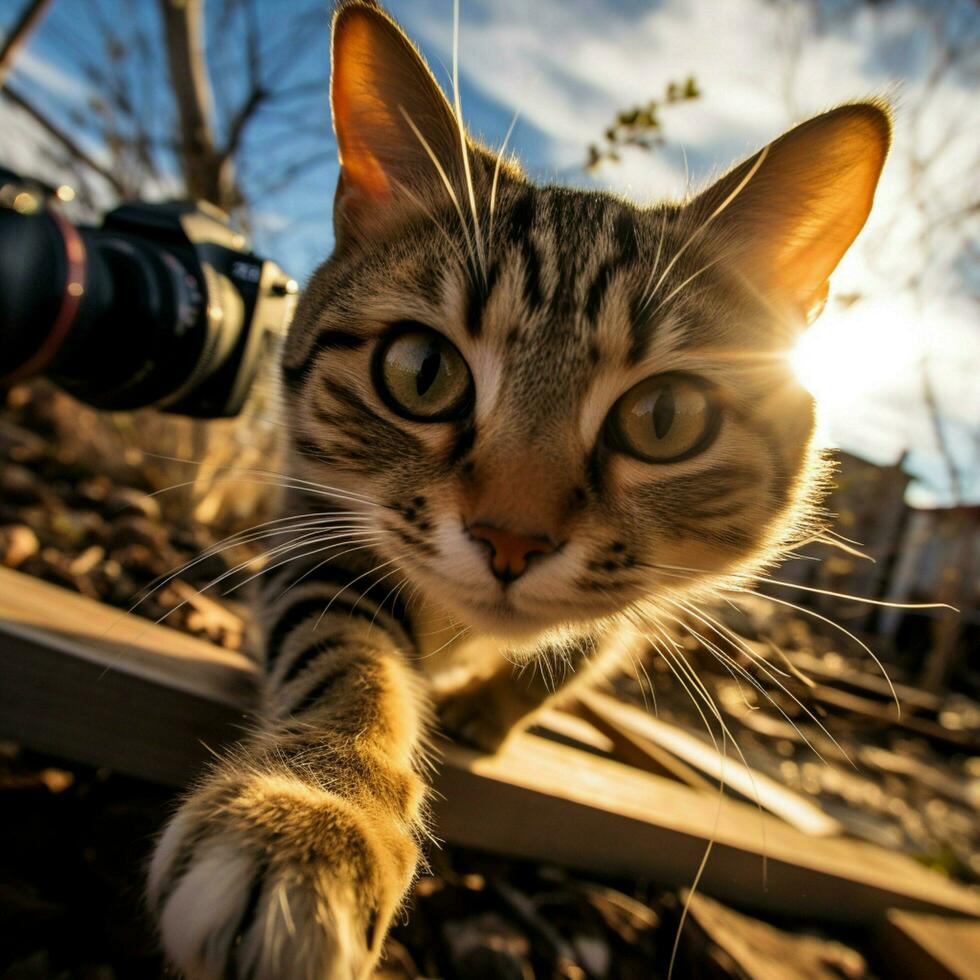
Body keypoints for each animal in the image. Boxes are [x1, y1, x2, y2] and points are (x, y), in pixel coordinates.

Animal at [145, 3, 888, 976]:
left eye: (665, 419)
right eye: (421, 372)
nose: (511, 538)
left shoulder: (649, 598)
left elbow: (585, 646)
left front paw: (488, 711)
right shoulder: (320, 525)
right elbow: (348, 661)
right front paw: (314, 815)